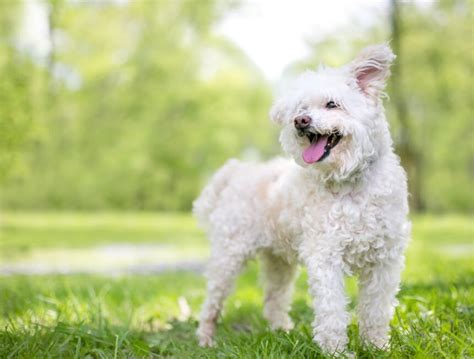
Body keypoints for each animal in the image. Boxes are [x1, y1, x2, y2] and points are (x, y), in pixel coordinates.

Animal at [193, 44, 412, 354]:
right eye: (300, 109)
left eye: (332, 104)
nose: (301, 121)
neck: (350, 183)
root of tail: (237, 171)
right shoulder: (326, 255)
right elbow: (332, 310)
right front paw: (336, 352)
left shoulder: (385, 261)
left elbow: (376, 310)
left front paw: (377, 346)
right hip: (229, 255)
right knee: (212, 301)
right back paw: (206, 338)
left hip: (278, 262)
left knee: (274, 299)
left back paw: (282, 331)